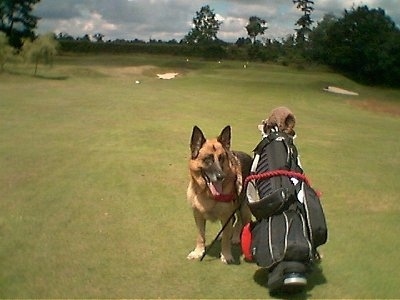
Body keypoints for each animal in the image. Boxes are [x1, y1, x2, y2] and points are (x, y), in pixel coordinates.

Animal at [187, 125, 250, 264]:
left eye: (221, 158)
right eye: (208, 159)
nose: (221, 176)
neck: (208, 195)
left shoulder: (226, 215)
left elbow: (226, 239)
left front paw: (226, 255)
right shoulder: (198, 216)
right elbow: (200, 236)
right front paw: (199, 252)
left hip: (243, 208)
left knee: (241, 221)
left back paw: (236, 237)